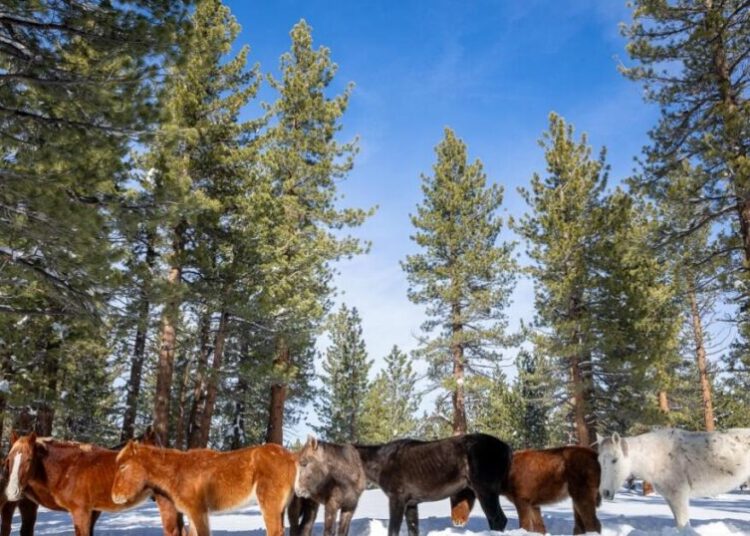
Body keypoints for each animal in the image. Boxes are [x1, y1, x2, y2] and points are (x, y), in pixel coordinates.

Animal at [2, 431, 183, 536]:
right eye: (8, 459)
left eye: (29, 460)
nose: (12, 491)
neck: (69, 467)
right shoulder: (89, 512)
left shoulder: (83, 512)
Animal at [111, 440, 297, 536]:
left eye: (123, 467)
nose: (114, 496)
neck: (176, 472)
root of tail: (291, 456)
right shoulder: (191, 514)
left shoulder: (198, 511)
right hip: (280, 508)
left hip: (268, 505)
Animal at [354, 433, 512, 536]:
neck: (381, 463)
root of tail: (507, 448)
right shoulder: (411, 503)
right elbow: (413, 529)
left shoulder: (397, 498)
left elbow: (393, 529)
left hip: (485, 491)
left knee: (498, 520)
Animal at [450, 446, 602, 534]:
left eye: (456, 496)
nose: (456, 520)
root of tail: (596, 456)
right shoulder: (533, 503)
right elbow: (540, 528)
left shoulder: (522, 500)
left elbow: (525, 525)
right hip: (577, 496)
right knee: (582, 525)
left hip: (582, 493)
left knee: (593, 524)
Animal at [598, 428, 750, 528]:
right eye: (599, 460)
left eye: (615, 460)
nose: (604, 492)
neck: (657, 457)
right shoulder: (670, 498)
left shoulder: (679, 496)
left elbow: (683, 524)